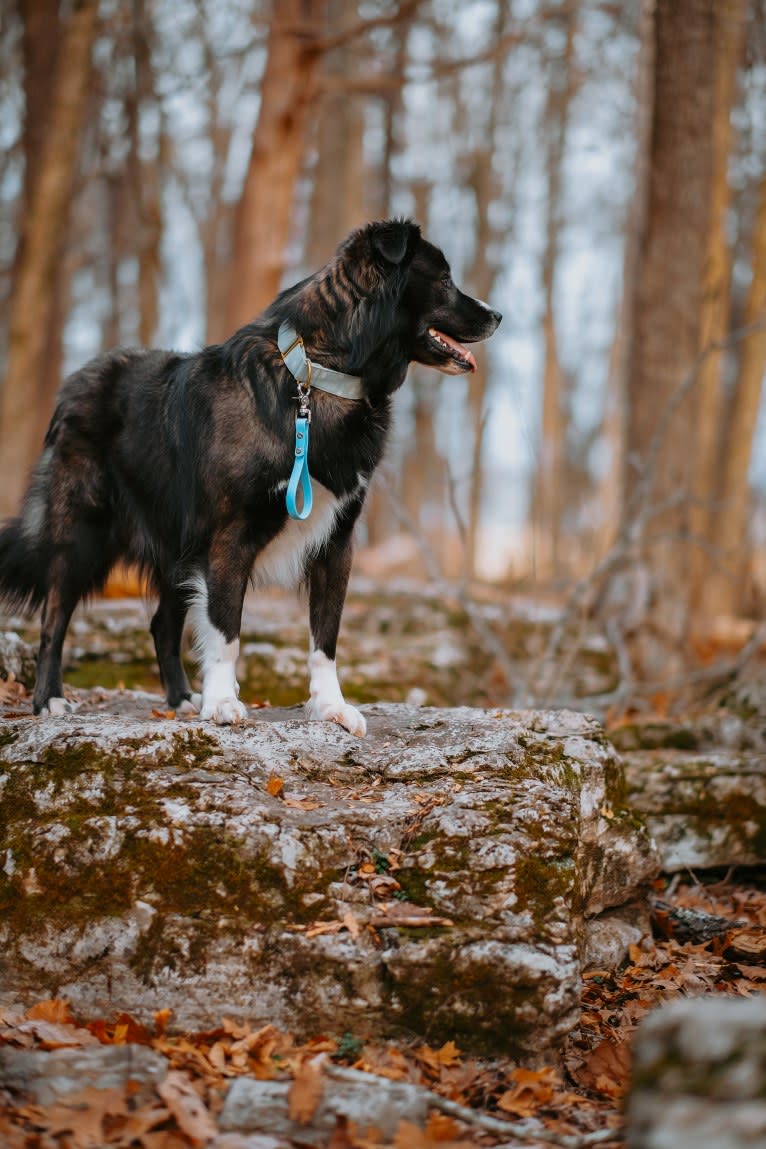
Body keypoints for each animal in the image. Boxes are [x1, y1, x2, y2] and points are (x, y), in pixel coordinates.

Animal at [0, 217, 503, 735]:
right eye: (443, 279)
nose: (498, 316)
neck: (318, 375)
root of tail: (74, 384)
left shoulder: (336, 539)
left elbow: (326, 636)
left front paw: (330, 706)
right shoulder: (229, 536)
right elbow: (226, 629)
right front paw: (222, 701)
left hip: (176, 546)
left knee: (162, 624)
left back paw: (180, 698)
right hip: (84, 533)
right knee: (53, 617)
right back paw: (50, 699)